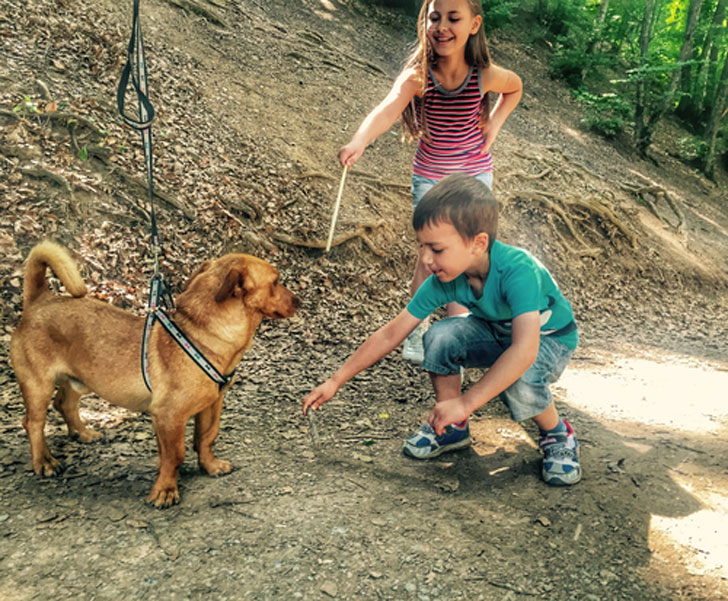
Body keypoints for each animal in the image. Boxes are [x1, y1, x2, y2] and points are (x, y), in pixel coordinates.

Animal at [9, 239, 298, 506]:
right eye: (276, 282)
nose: (299, 300)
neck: (199, 332)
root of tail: (39, 299)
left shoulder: (211, 406)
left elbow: (206, 438)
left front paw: (209, 466)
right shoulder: (169, 417)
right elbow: (176, 455)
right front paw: (165, 490)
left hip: (79, 380)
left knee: (64, 403)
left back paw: (83, 433)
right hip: (39, 386)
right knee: (33, 423)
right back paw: (44, 461)